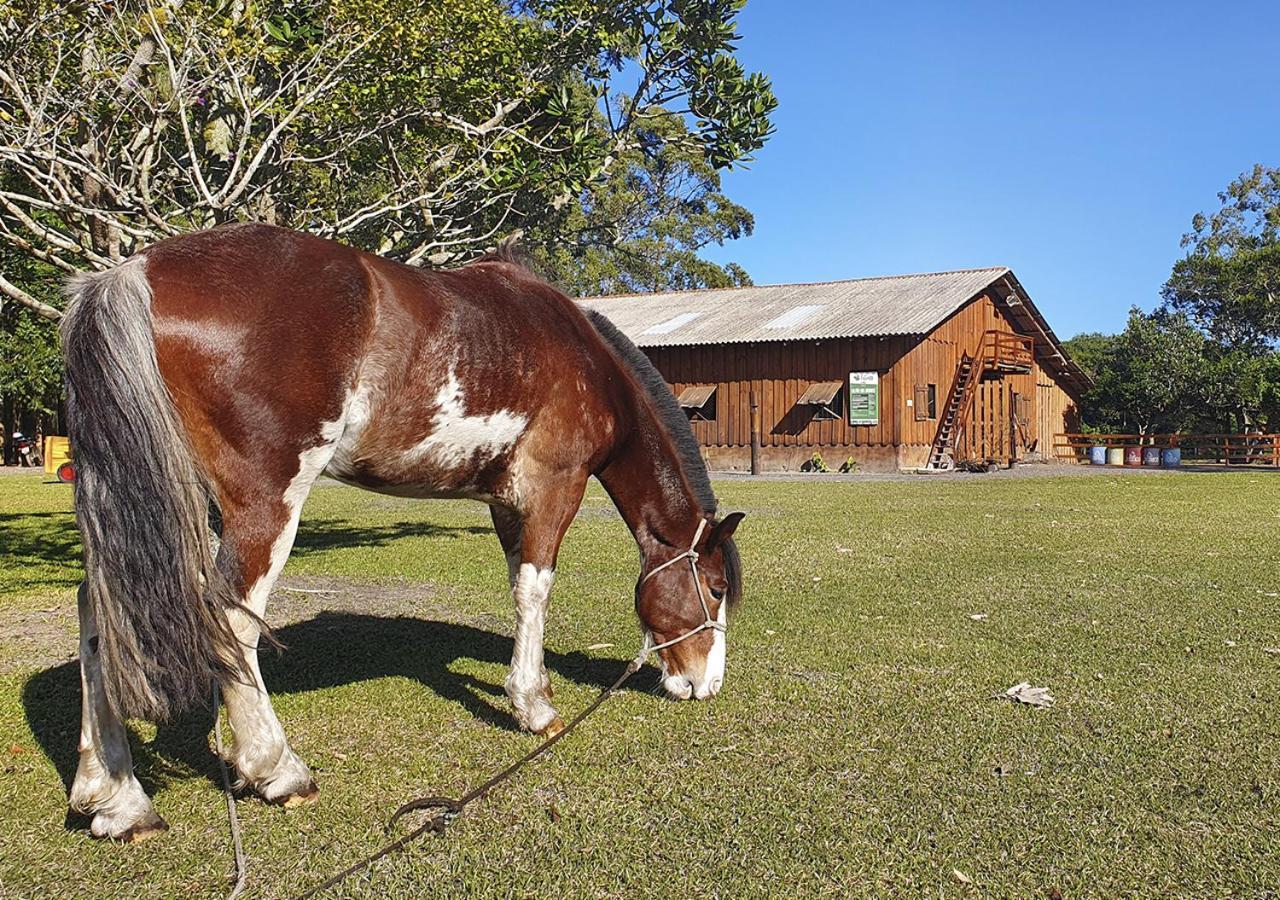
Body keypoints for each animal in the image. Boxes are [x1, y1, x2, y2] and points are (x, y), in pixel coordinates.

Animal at [57, 225, 742, 844]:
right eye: (712, 587)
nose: (706, 685)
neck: (584, 356)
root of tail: (136, 271)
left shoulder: (506, 504)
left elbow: (518, 587)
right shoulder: (555, 488)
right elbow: (536, 590)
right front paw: (535, 706)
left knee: (97, 613)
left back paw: (115, 799)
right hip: (263, 504)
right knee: (231, 618)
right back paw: (278, 770)